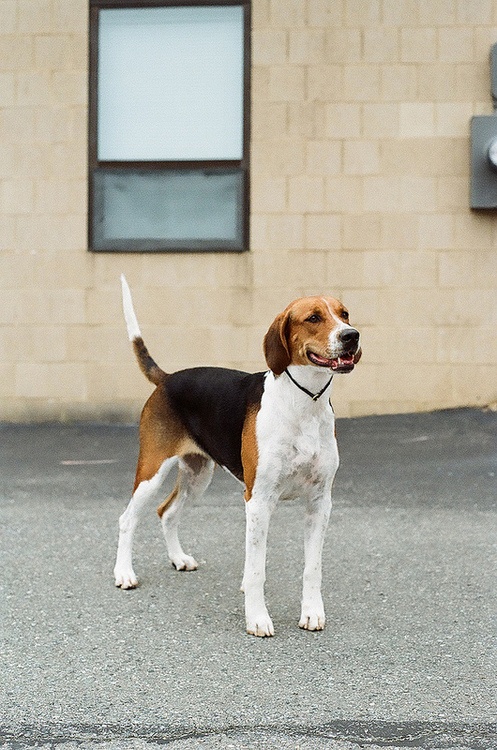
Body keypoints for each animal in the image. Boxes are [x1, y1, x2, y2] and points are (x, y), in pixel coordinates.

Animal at [113, 280, 360, 636]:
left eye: (344, 314)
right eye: (313, 317)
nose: (351, 335)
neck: (304, 403)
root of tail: (168, 378)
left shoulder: (320, 501)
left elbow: (312, 568)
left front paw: (312, 613)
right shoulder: (258, 500)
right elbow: (257, 569)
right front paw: (257, 618)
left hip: (198, 475)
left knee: (167, 512)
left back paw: (179, 558)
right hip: (153, 470)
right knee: (128, 518)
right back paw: (124, 573)